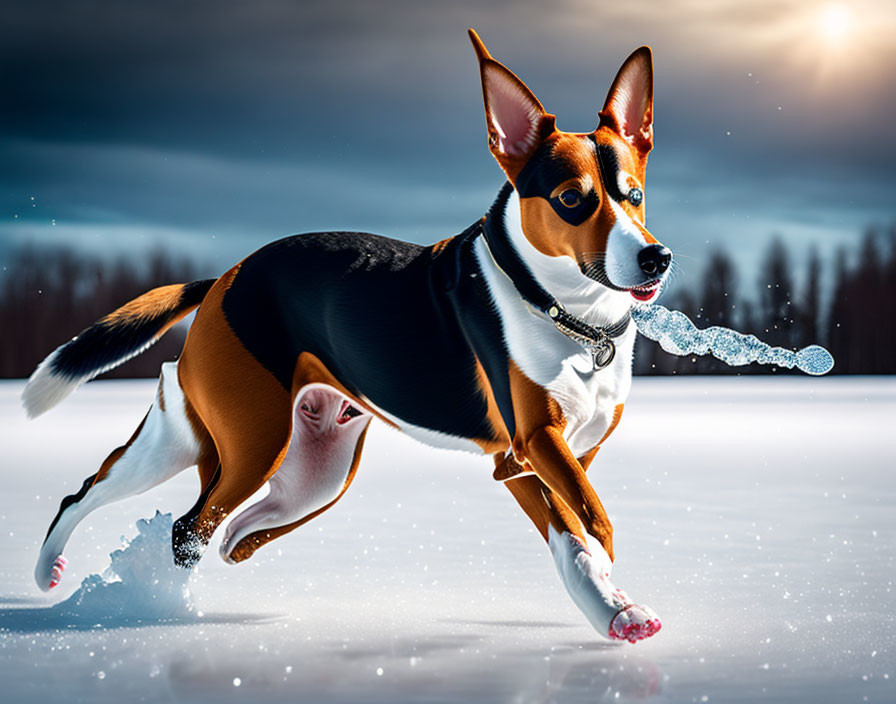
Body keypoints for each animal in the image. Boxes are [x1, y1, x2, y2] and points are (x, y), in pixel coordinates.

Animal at [22, 28, 672, 644]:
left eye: (635, 194)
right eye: (571, 199)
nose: (655, 258)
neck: (570, 316)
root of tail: (225, 278)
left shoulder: (546, 459)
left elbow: (576, 528)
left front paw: (616, 610)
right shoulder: (529, 446)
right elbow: (588, 528)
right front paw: (612, 600)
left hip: (294, 466)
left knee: (205, 521)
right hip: (254, 442)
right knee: (174, 523)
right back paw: (125, 596)